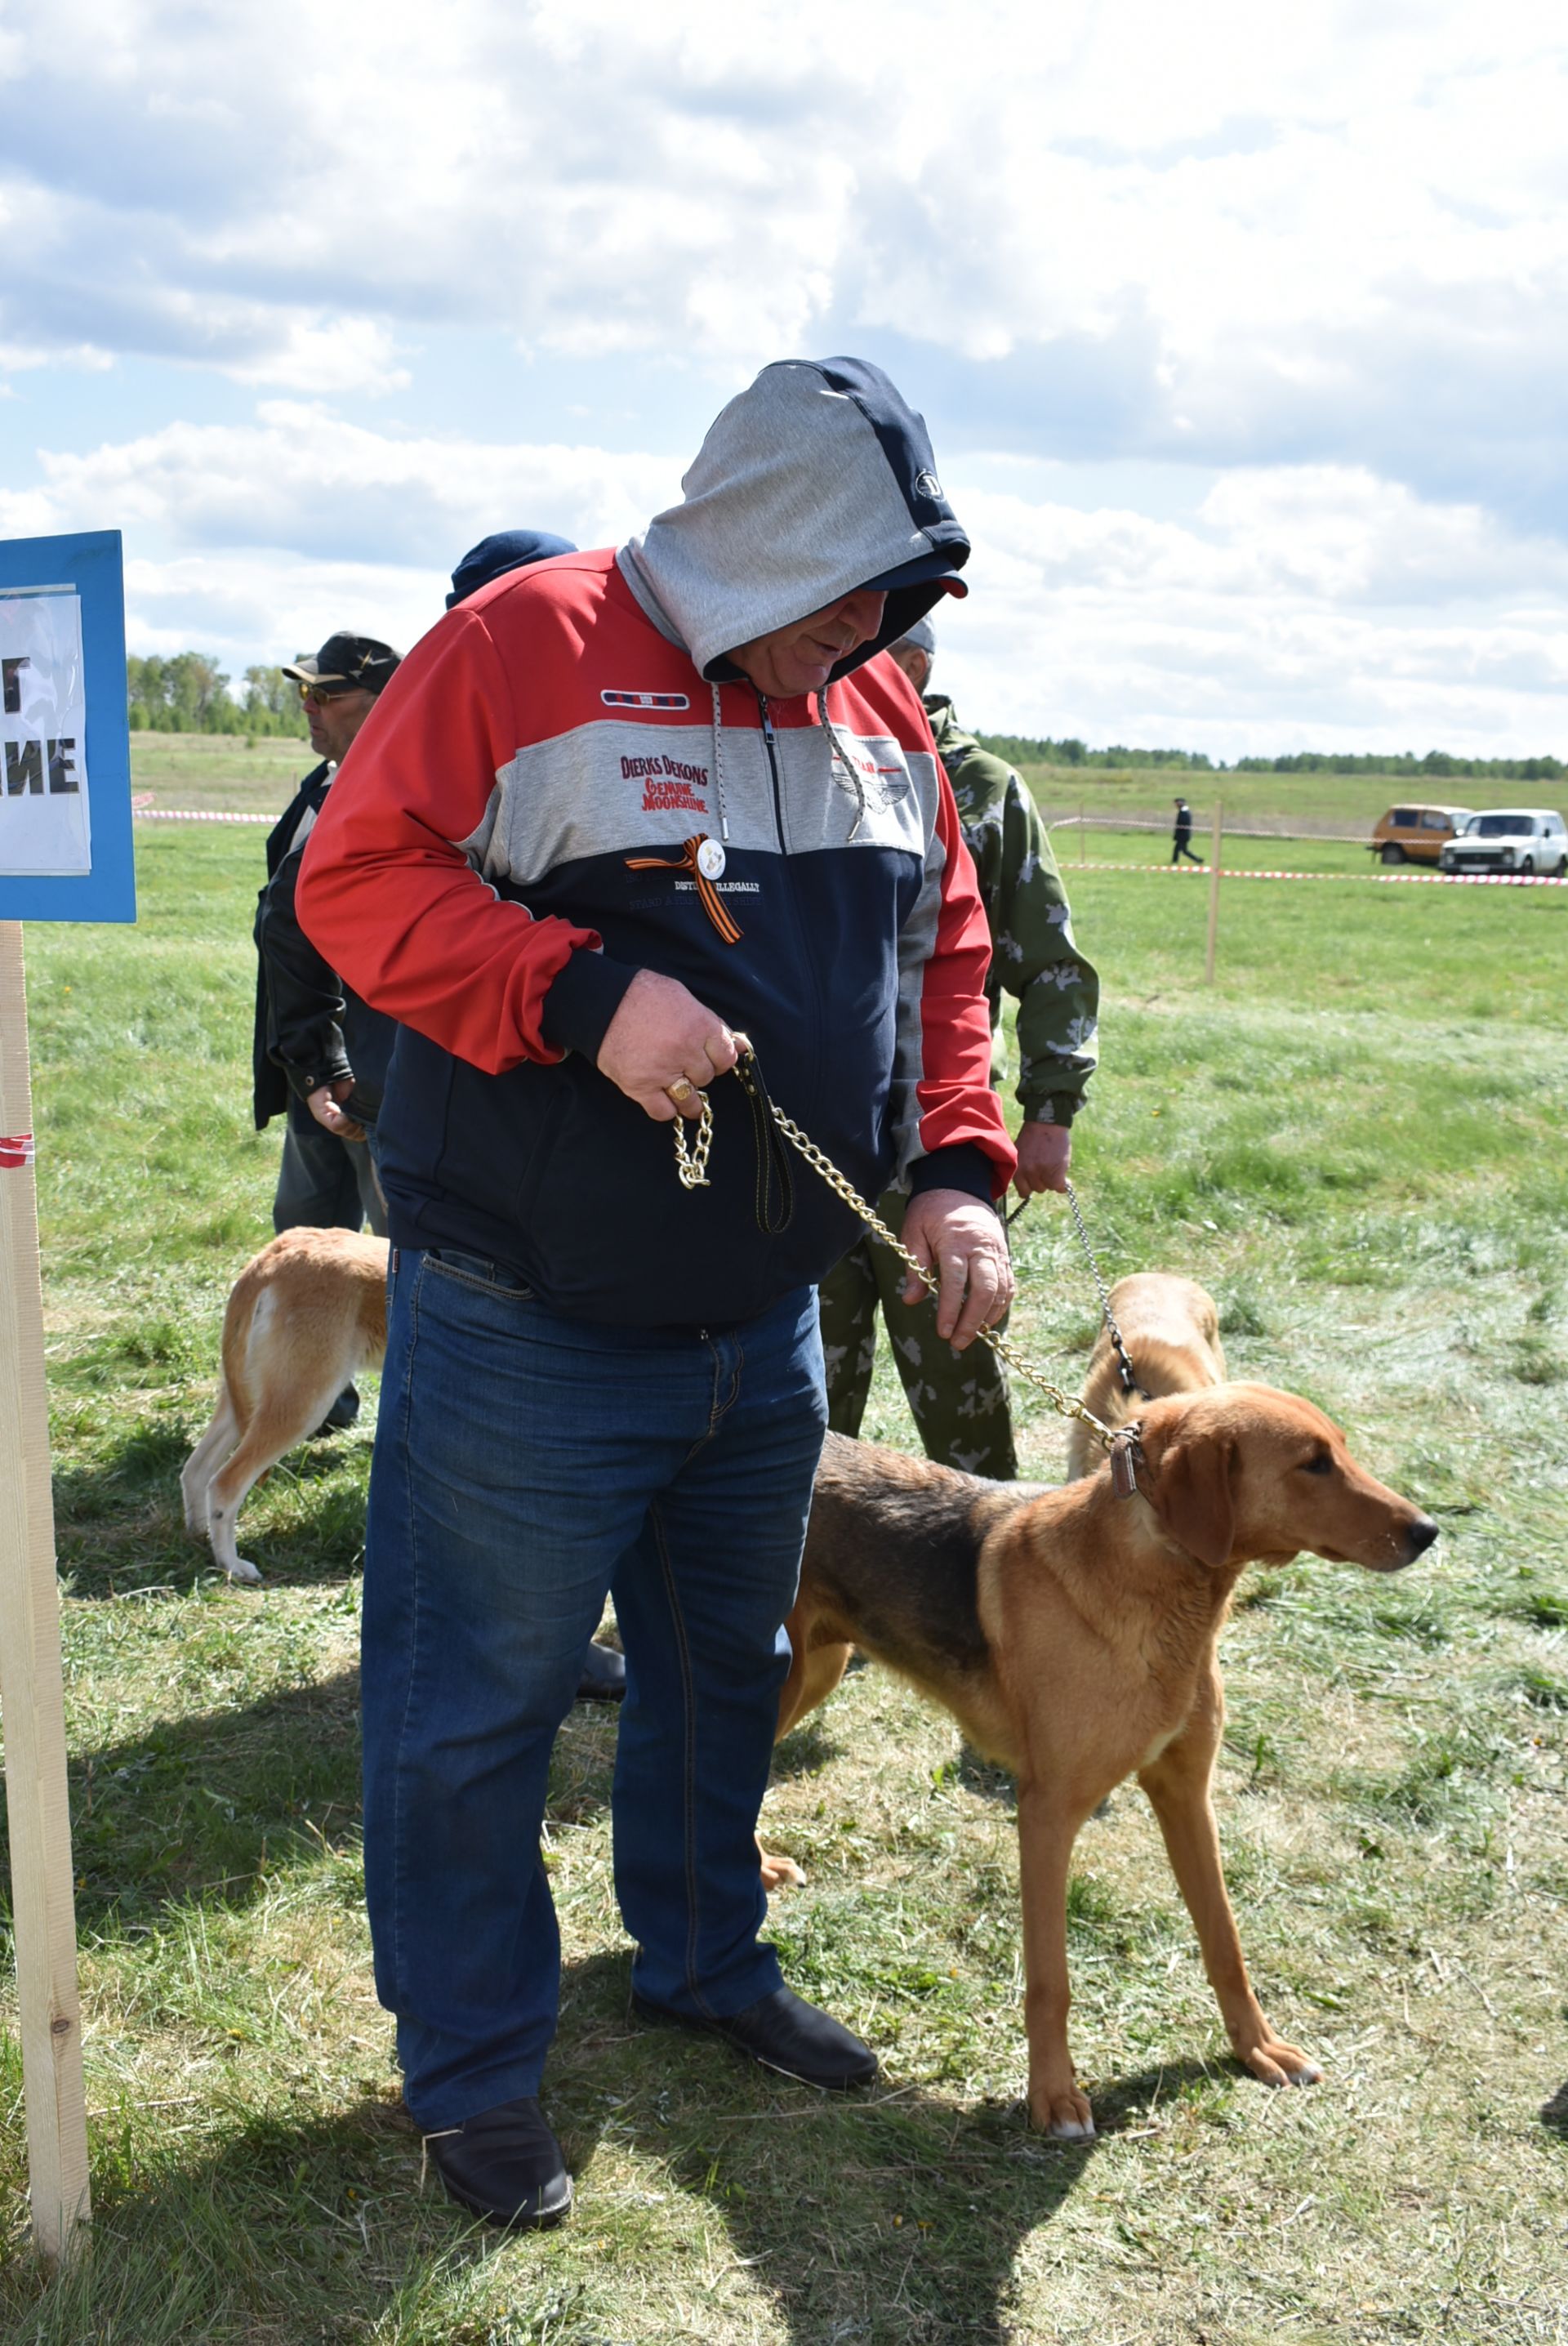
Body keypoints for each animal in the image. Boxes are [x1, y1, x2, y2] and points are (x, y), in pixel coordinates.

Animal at [181, 1220, 389, 1586]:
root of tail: (269, 1261)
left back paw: (200, 1540)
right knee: (224, 1484)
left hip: (249, 1400)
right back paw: (233, 1566)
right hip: (302, 1403)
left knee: (195, 1470)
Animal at [768, 1389, 1434, 2148]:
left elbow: (1225, 1942)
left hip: (814, 1672)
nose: (1429, 1531)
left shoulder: (1186, 1794)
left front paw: (1256, 2048)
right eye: (1313, 1463)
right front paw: (1053, 2098)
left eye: (1341, 1450)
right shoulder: (1048, 1813)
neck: (1158, 1592)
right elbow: (1050, 1982)